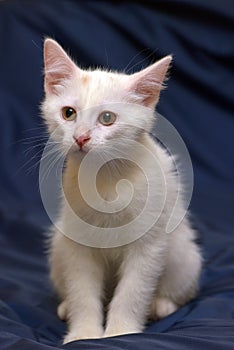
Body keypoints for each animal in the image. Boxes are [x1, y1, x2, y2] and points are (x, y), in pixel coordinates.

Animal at [41, 37, 201, 342]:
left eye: (107, 118)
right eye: (68, 113)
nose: (80, 137)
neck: (106, 180)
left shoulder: (149, 244)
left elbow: (132, 292)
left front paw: (120, 332)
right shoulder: (77, 243)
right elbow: (82, 291)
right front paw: (84, 334)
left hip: (182, 253)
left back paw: (161, 304)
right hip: (58, 245)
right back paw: (66, 307)